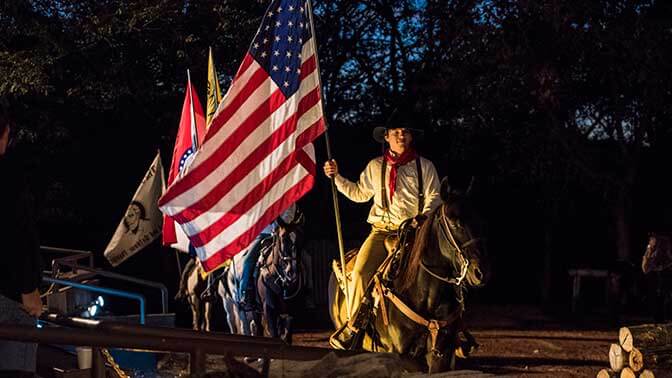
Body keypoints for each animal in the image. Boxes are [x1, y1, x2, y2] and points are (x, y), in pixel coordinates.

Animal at [330, 179, 488, 372]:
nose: (480, 272)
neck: (425, 296)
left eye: (479, 221)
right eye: (453, 223)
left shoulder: (441, 355)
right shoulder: (402, 356)